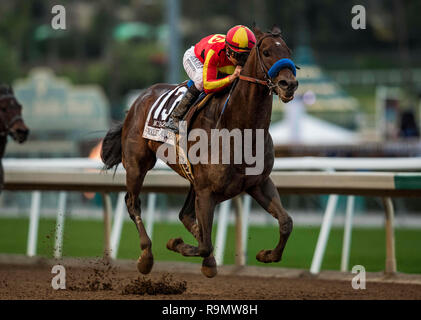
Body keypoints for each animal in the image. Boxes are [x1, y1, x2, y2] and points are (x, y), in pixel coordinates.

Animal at [101, 26, 298, 278]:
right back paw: (146, 256)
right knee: (133, 203)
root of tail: (138, 99)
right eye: (265, 52)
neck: (240, 130)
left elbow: (286, 222)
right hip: (137, 164)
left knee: (185, 215)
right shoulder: (206, 191)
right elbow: (204, 245)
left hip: (193, 180)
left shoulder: (258, 183)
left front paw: (267, 255)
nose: (288, 84)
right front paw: (176, 243)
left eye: (288, 51)